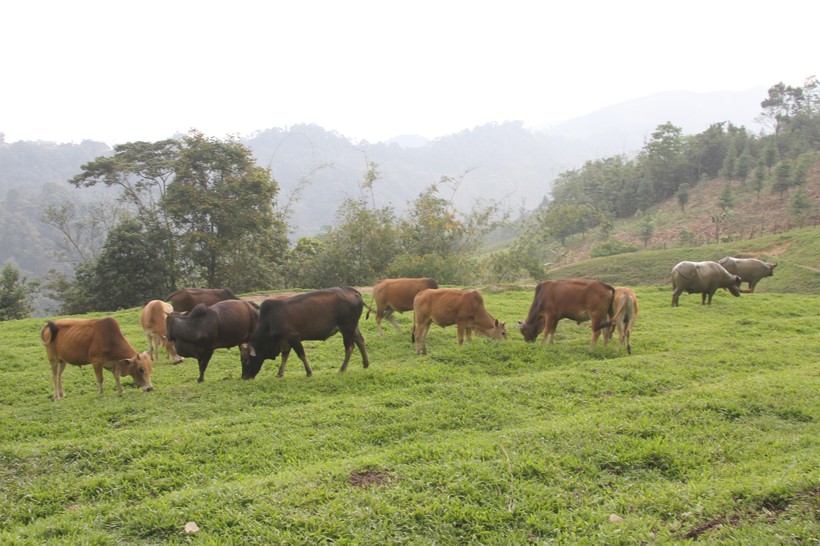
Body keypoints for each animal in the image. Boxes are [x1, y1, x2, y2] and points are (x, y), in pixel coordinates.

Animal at [240, 284, 368, 378]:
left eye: (246, 360)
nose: (244, 377)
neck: (270, 321)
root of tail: (352, 291)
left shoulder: (293, 337)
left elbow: (301, 355)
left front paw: (309, 372)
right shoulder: (285, 342)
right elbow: (284, 357)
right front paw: (280, 373)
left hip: (346, 328)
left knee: (350, 347)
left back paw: (342, 369)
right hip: (353, 327)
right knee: (360, 341)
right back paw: (366, 364)